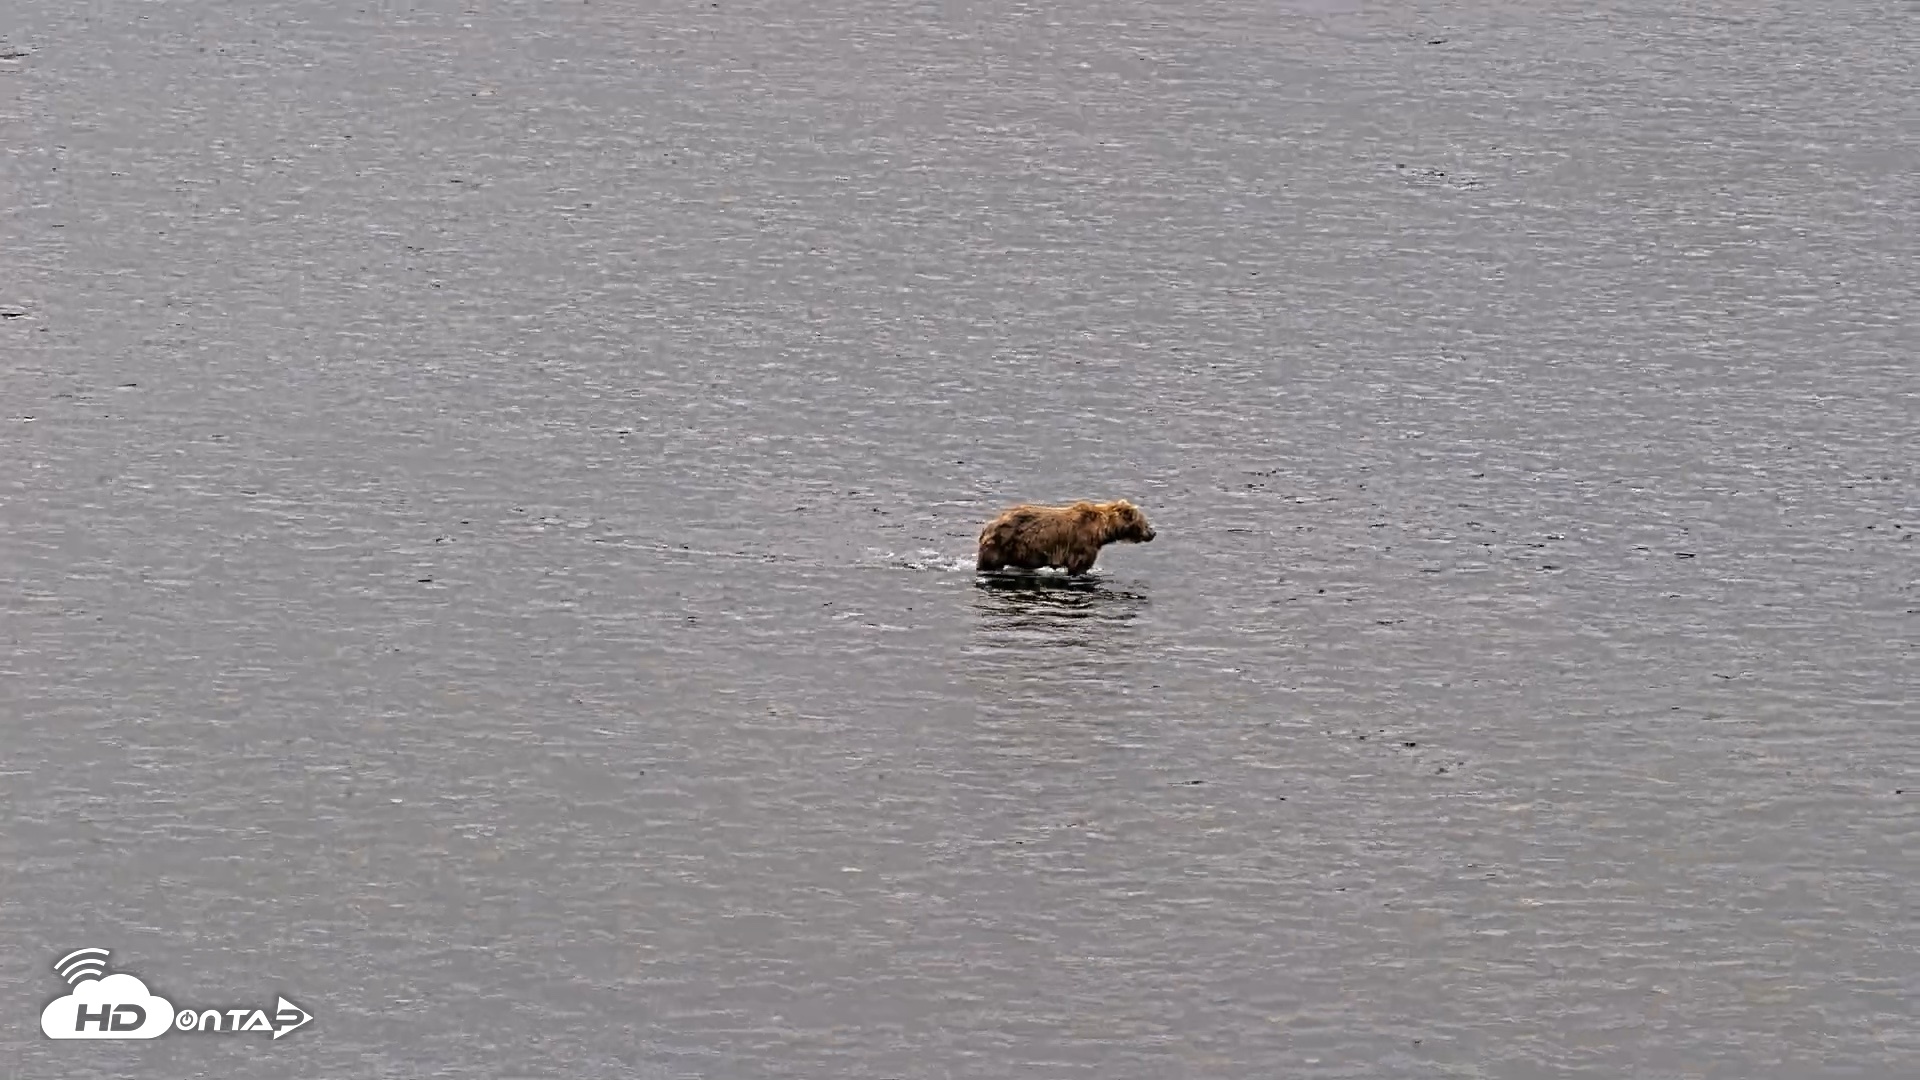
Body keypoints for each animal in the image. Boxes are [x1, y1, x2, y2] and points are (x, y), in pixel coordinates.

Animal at [975, 499, 1156, 576]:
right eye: (1145, 522)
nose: (1153, 533)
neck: (1101, 531)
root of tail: (988, 525)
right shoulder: (1082, 543)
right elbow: (1079, 565)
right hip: (1002, 544)